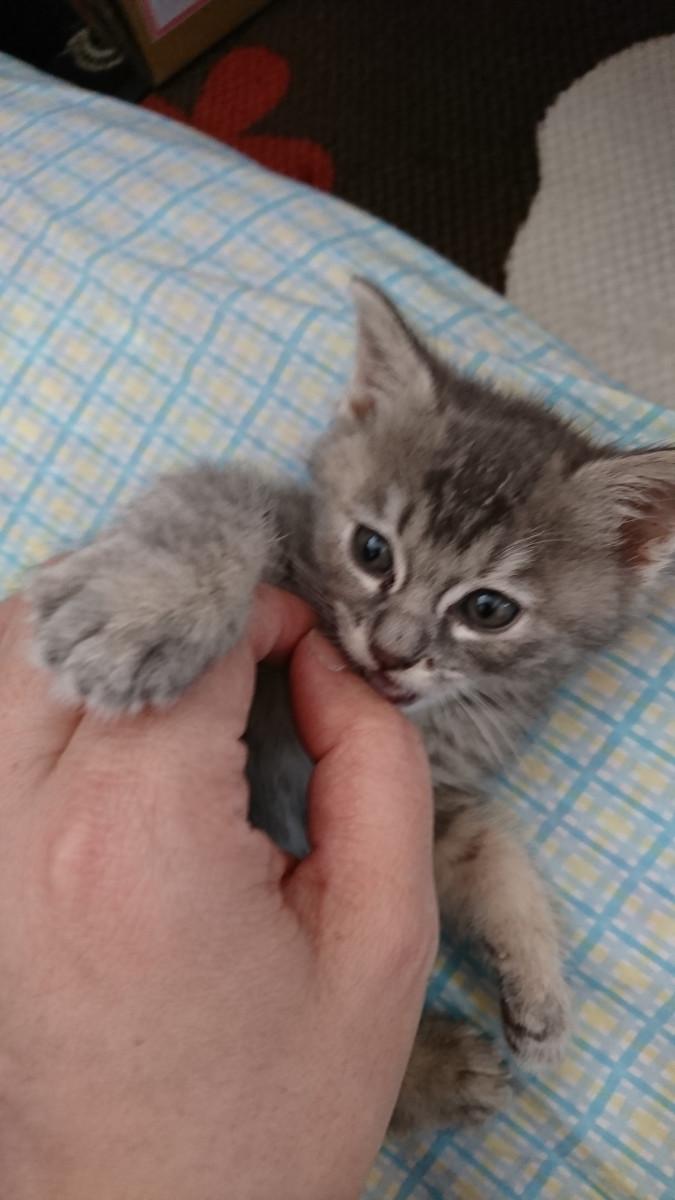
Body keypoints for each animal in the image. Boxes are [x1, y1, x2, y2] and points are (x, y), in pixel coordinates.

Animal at [28, 280, 675, 1132]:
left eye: (488, 610)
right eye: (372, 552)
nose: (393, 651)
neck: (430, 717)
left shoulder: (432, 795)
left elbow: (485, 846)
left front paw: (538, 981)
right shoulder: (263, 524)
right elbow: (214, 504)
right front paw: (143, 606)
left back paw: (440, 1069)